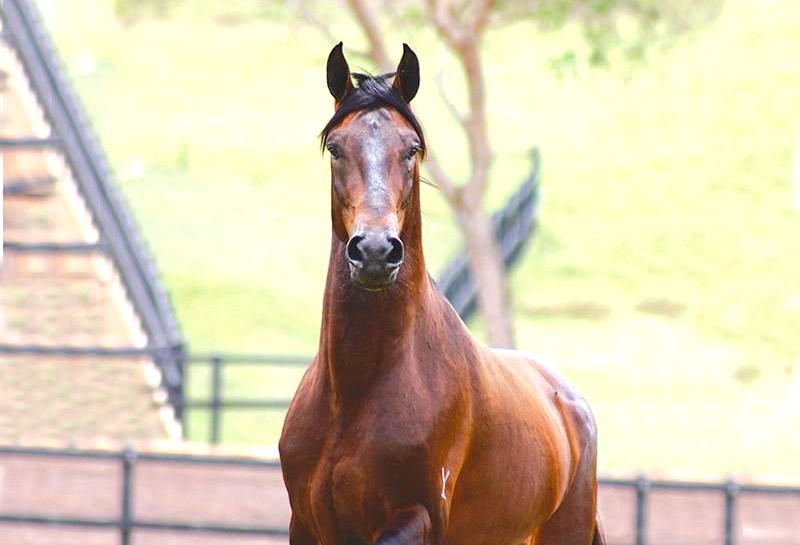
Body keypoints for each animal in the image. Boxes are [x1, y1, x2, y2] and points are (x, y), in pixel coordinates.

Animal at [278, 41, 604, 544]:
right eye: (336, 148)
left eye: (411, 148)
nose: (375, 251)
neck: (355, 392)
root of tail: (570, 404)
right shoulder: (307, 524)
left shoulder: (419, 516)